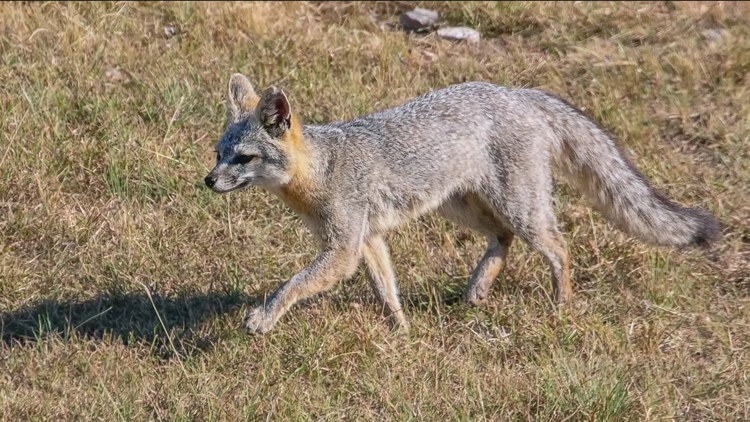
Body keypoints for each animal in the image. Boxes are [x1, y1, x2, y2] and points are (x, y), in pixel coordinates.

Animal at [204, 73, 721, 334]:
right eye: (217, 152)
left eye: (243, 158)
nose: (208, 180)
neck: (322, 169)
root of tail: (517, 93)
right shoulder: (367, 240)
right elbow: (386, 290)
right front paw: (401, 331)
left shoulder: (344, 248)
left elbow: (292, 284)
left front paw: (264, 317)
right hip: (462, 207)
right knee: (503, 239)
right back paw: (476, 291)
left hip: (521, 209)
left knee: (559, 248)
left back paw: (561, 304)